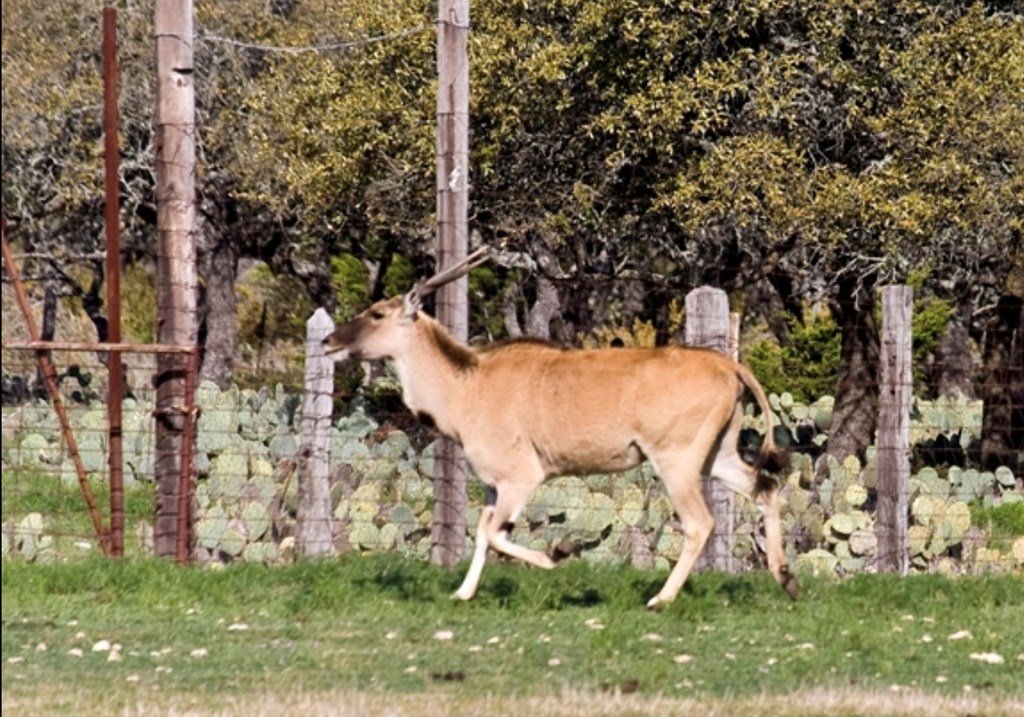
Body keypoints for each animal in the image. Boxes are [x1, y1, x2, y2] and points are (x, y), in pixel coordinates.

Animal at [323, 248, 800, 608]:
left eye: (377, 313)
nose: (329, 342)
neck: (469, 384)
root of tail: (728, 365)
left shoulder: (522, 477)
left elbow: (494, 533)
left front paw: (560, 550)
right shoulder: (495, 486)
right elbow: (483, 531)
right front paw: (462, 593)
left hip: (675, 462)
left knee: (701, 523)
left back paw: (659, 599)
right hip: (715, 458)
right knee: (765, 488)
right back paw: (785, 577)